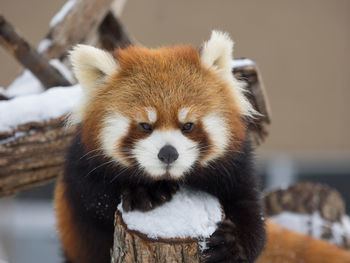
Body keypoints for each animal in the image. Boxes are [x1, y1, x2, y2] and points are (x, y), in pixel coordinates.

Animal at [53, 31, 264, 263]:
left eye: (187, 125)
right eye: (145, 125)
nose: (168, 153)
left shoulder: (236, 168)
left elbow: (250, 210)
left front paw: (233, 244)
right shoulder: (82, 169)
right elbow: (94, 201)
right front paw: (144, 191)